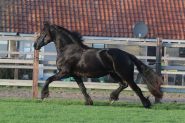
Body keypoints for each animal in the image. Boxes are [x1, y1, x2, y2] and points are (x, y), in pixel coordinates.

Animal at [34, 22, 163, 108]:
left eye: (43, 33)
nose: (35, 45)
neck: (68, 49)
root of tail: (127, 55)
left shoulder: (64, 72)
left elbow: (48, 80)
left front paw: (43, 95)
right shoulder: (75, 75)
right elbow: (82, 88)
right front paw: (89, 102)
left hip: (124, 74)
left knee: (135, 88)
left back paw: (146, 104)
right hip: (113, 74)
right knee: (124, 85)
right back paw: (112, 98)